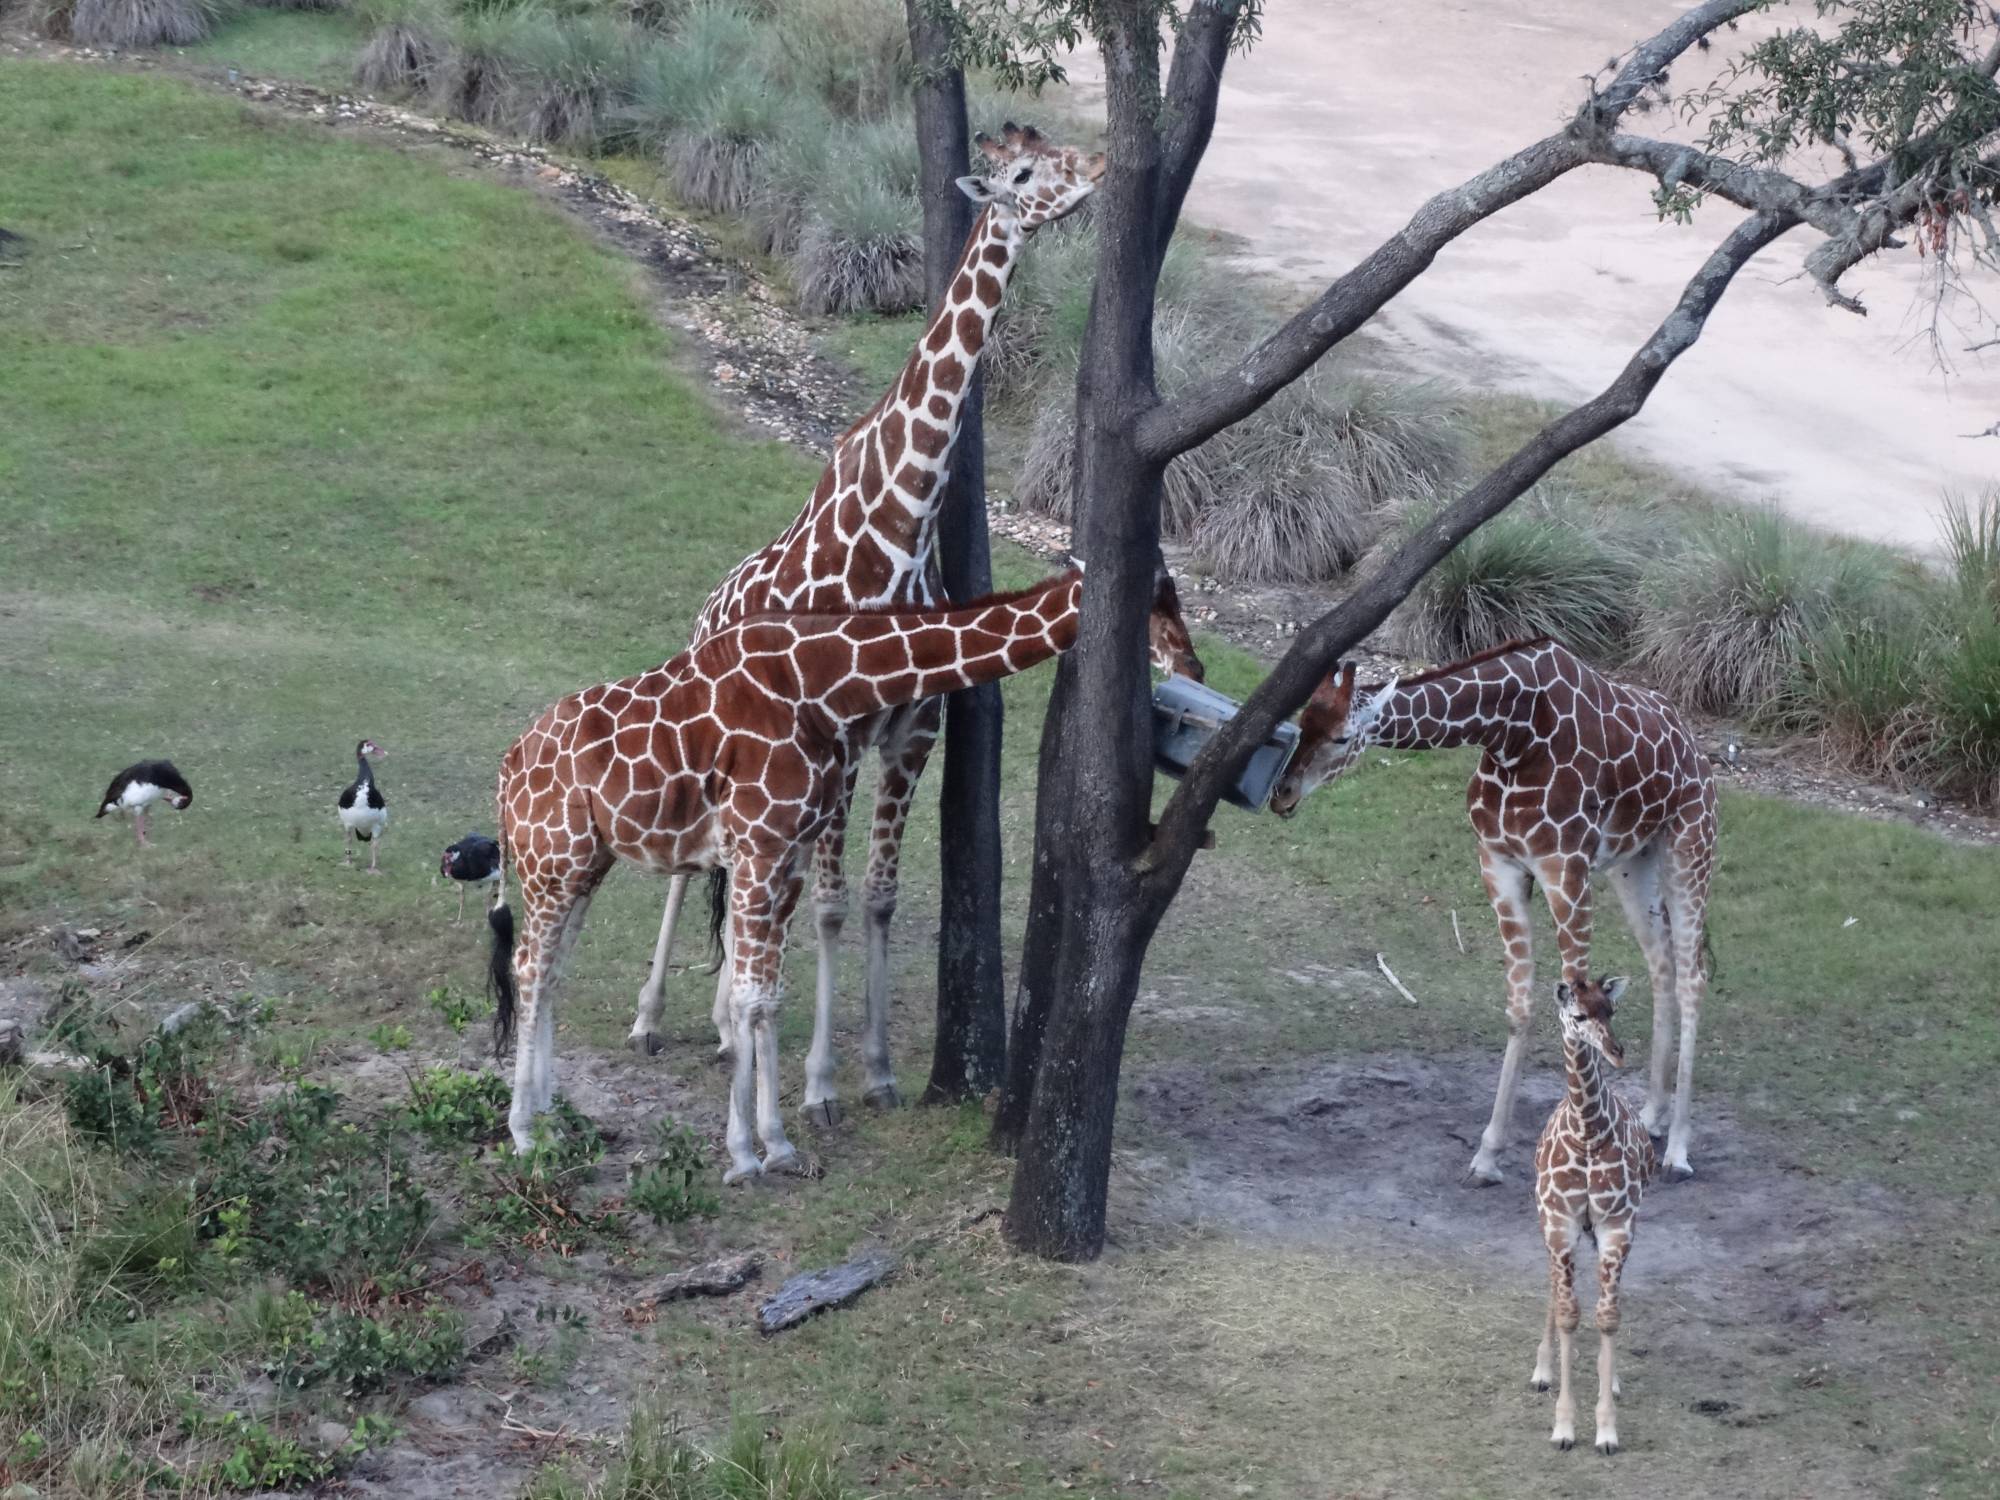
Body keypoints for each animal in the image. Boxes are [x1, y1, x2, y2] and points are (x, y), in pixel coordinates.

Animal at [490, 568, 1192, 1184]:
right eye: (1159, 605)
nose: (1192, 666)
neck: (825, 684)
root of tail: (508, 766)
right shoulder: (760, 845)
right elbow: (747, 998)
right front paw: (743, 1157)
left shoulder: (790, 853)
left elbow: (768, 999)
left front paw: (778, 1146)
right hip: (553, 861)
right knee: (529, 969)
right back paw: (525, 1133)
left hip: (583, 864)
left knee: (550, 974)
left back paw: (551, 1119)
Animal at [624, 120, 1200, 1128]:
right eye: (1023, 170)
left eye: (1059, 150)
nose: (1097, 169)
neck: (903, 517)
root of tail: (708, 608)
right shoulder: (846, 741)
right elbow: (828, 905)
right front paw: (818, 1086)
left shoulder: (913, 734)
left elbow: (881, 898)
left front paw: (880, 1070)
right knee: (700, 870)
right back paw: (655, 1018)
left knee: (739, 875)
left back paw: (726, 1021)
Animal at [1264, 636, 1720, 1184]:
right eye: (1302, 721)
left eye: (1341, 736)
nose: (1282, 793)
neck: (1512, 733)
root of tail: (1698, 753)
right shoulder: (1499, 863)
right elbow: (1521, 1007)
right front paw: (1487, 1155)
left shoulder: (1564, 868)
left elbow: (1579, 999)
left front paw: (1586, 1151)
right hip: (1633, 863)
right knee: (1661, 966)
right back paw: (1652, 1115)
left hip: (1690, 847)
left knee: (1693, 977)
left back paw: (1679, 1149)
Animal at [1528, 976, 1656, 1456]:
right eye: (1579, 1015)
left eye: (1611, 1010)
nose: (1617, 1051)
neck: (1587, 1132)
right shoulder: (1560, 1221)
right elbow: (1569, 1313)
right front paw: (1564, 1427)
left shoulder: (1617, 1225)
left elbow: (1607, 1316)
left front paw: (1606, 1430)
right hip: (1549, 1222)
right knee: (1553, 1283)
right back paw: (1542, 1372)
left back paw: (1610, 1378)